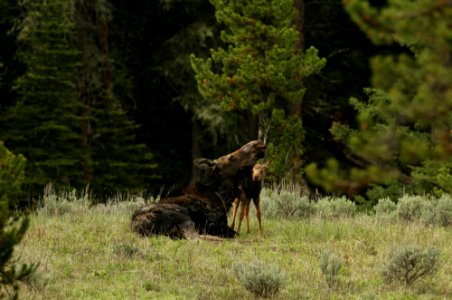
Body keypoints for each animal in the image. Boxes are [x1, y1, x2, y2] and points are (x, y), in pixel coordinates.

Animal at [130, 140, 264, 239]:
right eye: (231, 157)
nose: (257, 144)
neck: (222, 196)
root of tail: (138, 228)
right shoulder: (215, 221)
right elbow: (233, 232)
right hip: (183, 216)